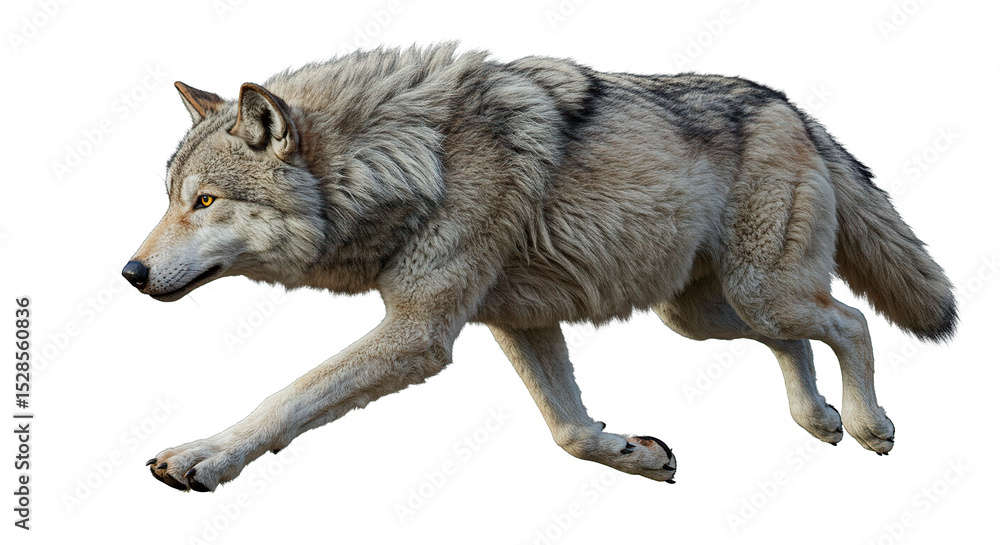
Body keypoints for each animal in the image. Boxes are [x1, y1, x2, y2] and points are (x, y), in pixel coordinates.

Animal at [123, 44, 956, 492]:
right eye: (170, 199)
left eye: (204, 201)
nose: (130, 273)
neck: (406, 160)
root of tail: (791, 104)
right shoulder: (518, 320)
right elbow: (570, 431)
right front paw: (637, 455)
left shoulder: (420, 332)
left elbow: (287, 395)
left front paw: (205, 455)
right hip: (702, 315)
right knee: (796, 340)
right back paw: (818, 418)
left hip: (761, 291)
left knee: (849, 319)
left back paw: (867, 423)